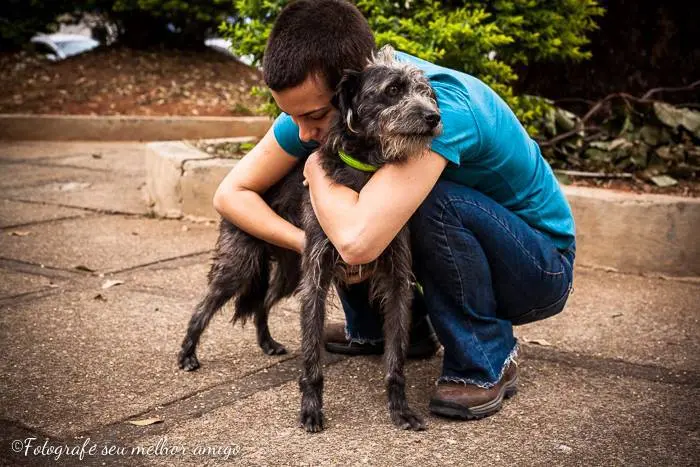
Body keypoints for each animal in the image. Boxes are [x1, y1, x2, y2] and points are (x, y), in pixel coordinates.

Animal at [178, 45, 440, 434]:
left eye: (426, 92)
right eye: (393, 90)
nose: (434, 116)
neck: (363, 172)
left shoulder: (395, 281)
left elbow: (395, 361)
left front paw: (400, 410)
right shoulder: (315, 278)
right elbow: (311, 358)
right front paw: (311, 410)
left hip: (289, 272)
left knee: (261, 304)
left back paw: (268, 343)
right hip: (240, 265)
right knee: (204, 305)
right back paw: (187, 352)